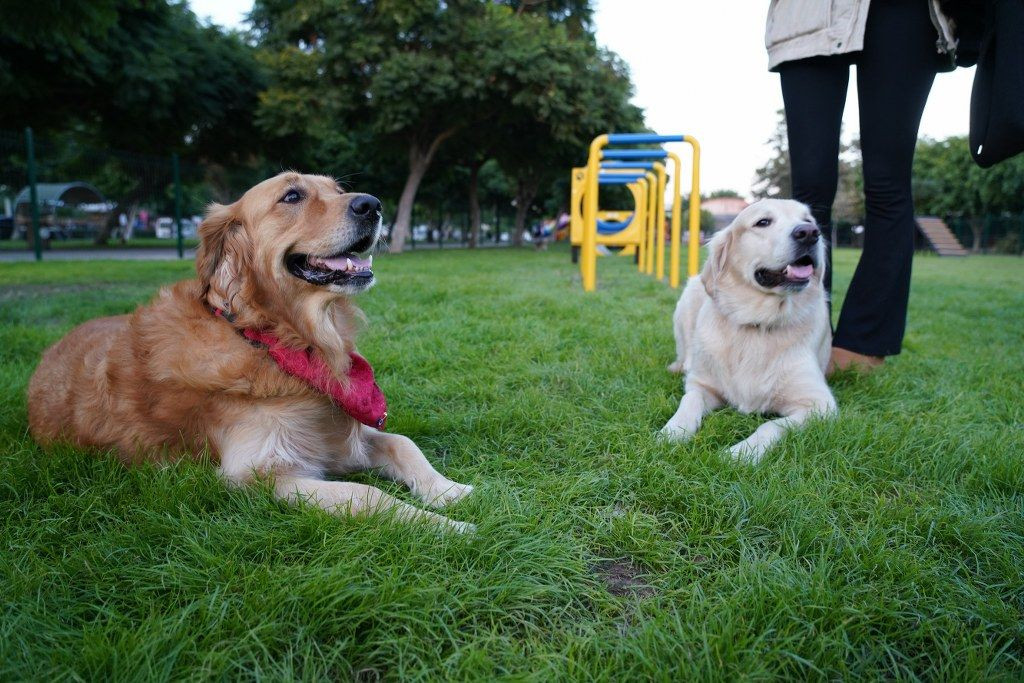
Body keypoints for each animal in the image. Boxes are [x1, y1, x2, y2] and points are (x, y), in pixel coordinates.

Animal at [659, 198, 835, 464]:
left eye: (808, 221)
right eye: (763, 222)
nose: (809, 233)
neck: (758, 323)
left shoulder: (820, 404)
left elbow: (772, 425)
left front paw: (742, 452)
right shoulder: (703, 384)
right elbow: (689, 400)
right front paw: (673, 430)